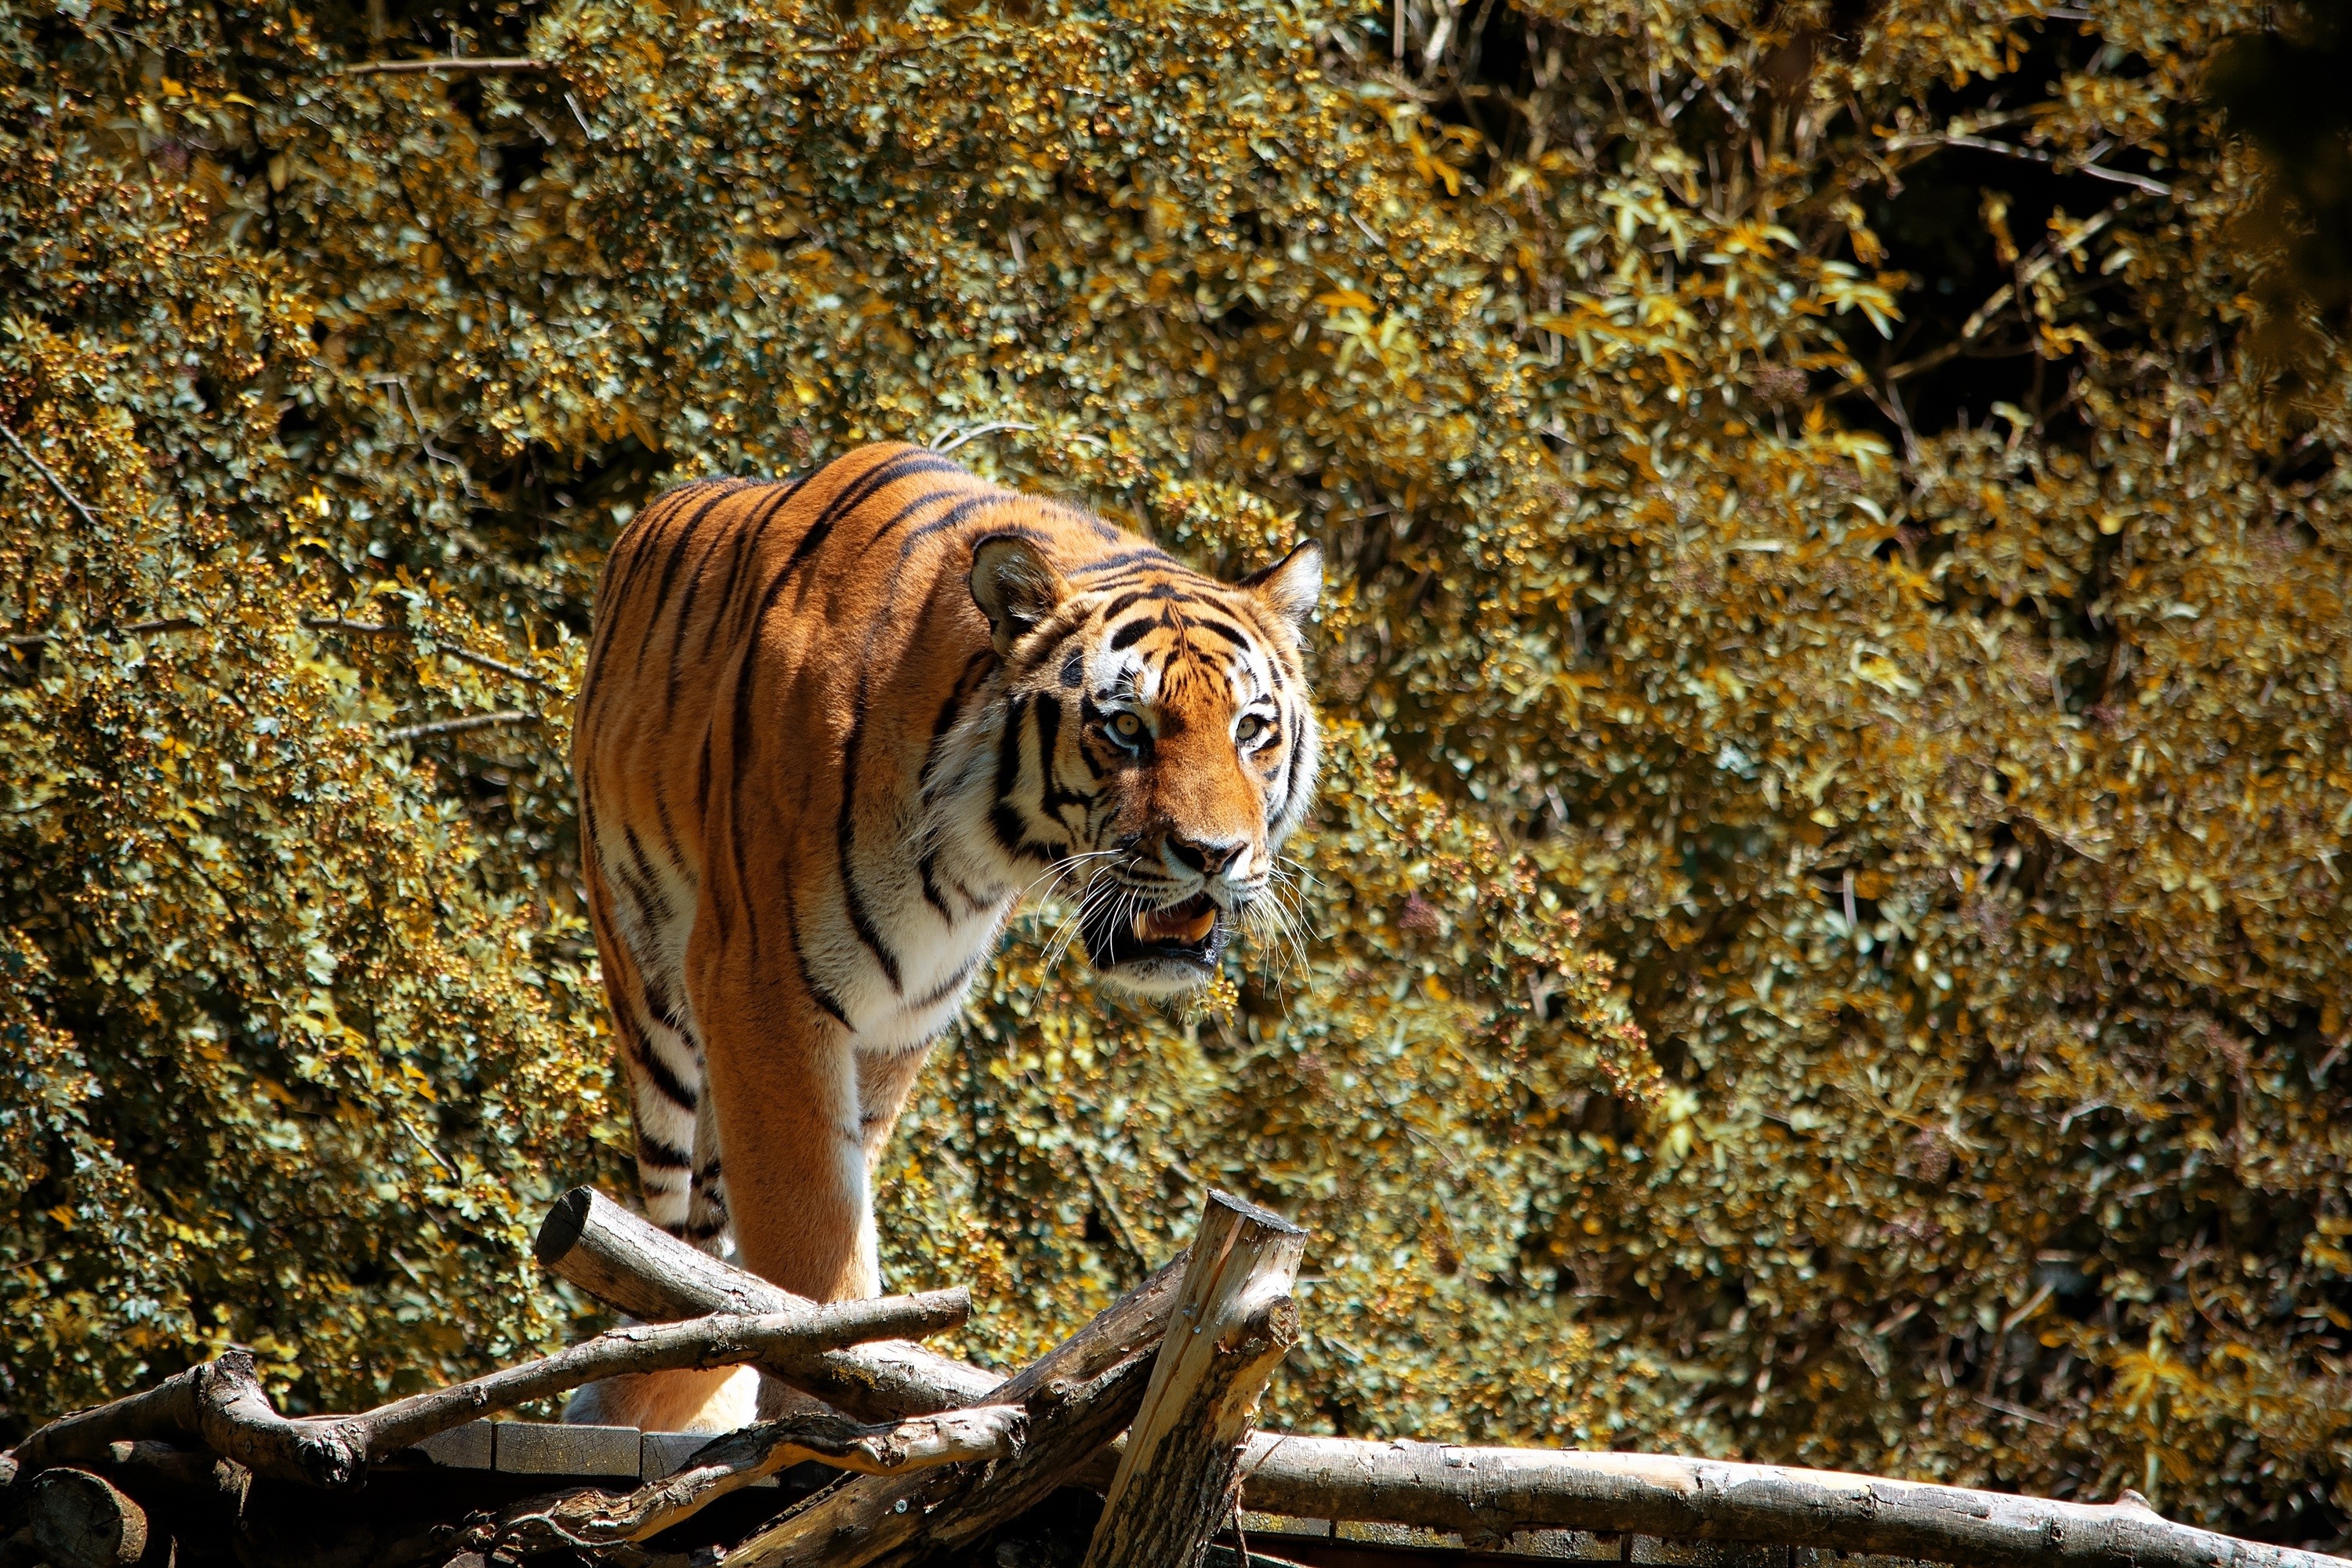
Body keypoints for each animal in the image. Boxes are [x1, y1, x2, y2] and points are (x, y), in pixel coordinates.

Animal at [567, 442, 1322, 1431]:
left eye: (1252, 728)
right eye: (1127, 726)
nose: (1214, 855)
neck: (976, 848)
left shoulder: (896, 1020)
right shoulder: (761, 981)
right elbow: (815, 1249)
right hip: (653, 991)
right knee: (668, 1225)